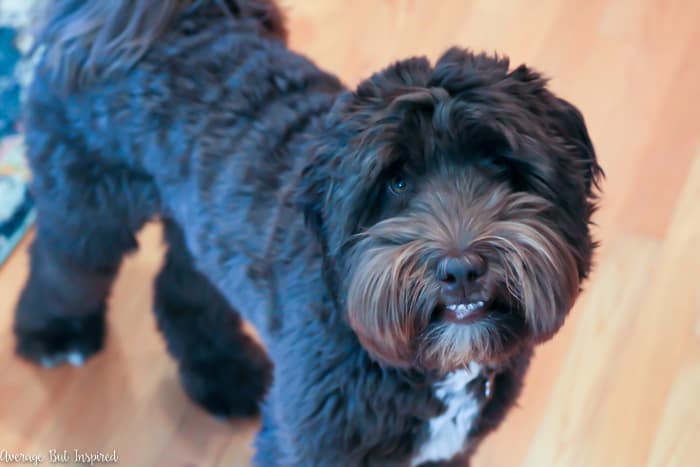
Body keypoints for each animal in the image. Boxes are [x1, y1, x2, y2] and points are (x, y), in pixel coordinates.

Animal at [12, 1, 600, 466]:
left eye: (500, 164)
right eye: (396, 181)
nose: (460, 269)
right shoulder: (307, 444)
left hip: (203, 226)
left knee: (182, 289)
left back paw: (223, 374)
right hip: (89, 199)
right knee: (63, 259)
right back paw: (54, 335)